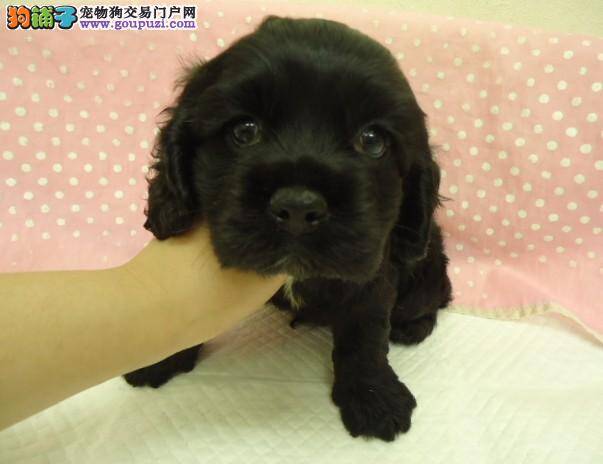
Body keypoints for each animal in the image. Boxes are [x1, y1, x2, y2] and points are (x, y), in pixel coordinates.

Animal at [124, 16, 452, 442]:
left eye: (372, 140)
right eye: (244, 130)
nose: (299, 207)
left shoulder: (373, 276)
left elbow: (364, 335)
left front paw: (374, 398)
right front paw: (160, 359)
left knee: (434, 296)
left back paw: (412, 327)